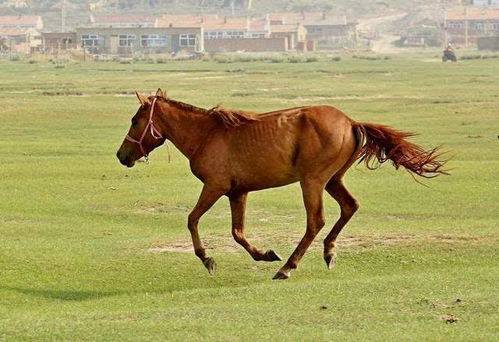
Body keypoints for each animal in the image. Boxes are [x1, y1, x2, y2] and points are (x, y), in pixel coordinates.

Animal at [117, 89, 450, 280]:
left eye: (134, 120)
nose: (122, 155)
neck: (207, 135)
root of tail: (351, 122)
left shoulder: (214, 187)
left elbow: (192, 220)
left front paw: (208, 259)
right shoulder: (238, 192)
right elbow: (237, 233)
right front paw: (264, 254)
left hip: (313, 181)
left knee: (316, 221)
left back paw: (288, 267)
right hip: (333, 179)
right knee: (349, 206)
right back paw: (328, 253)